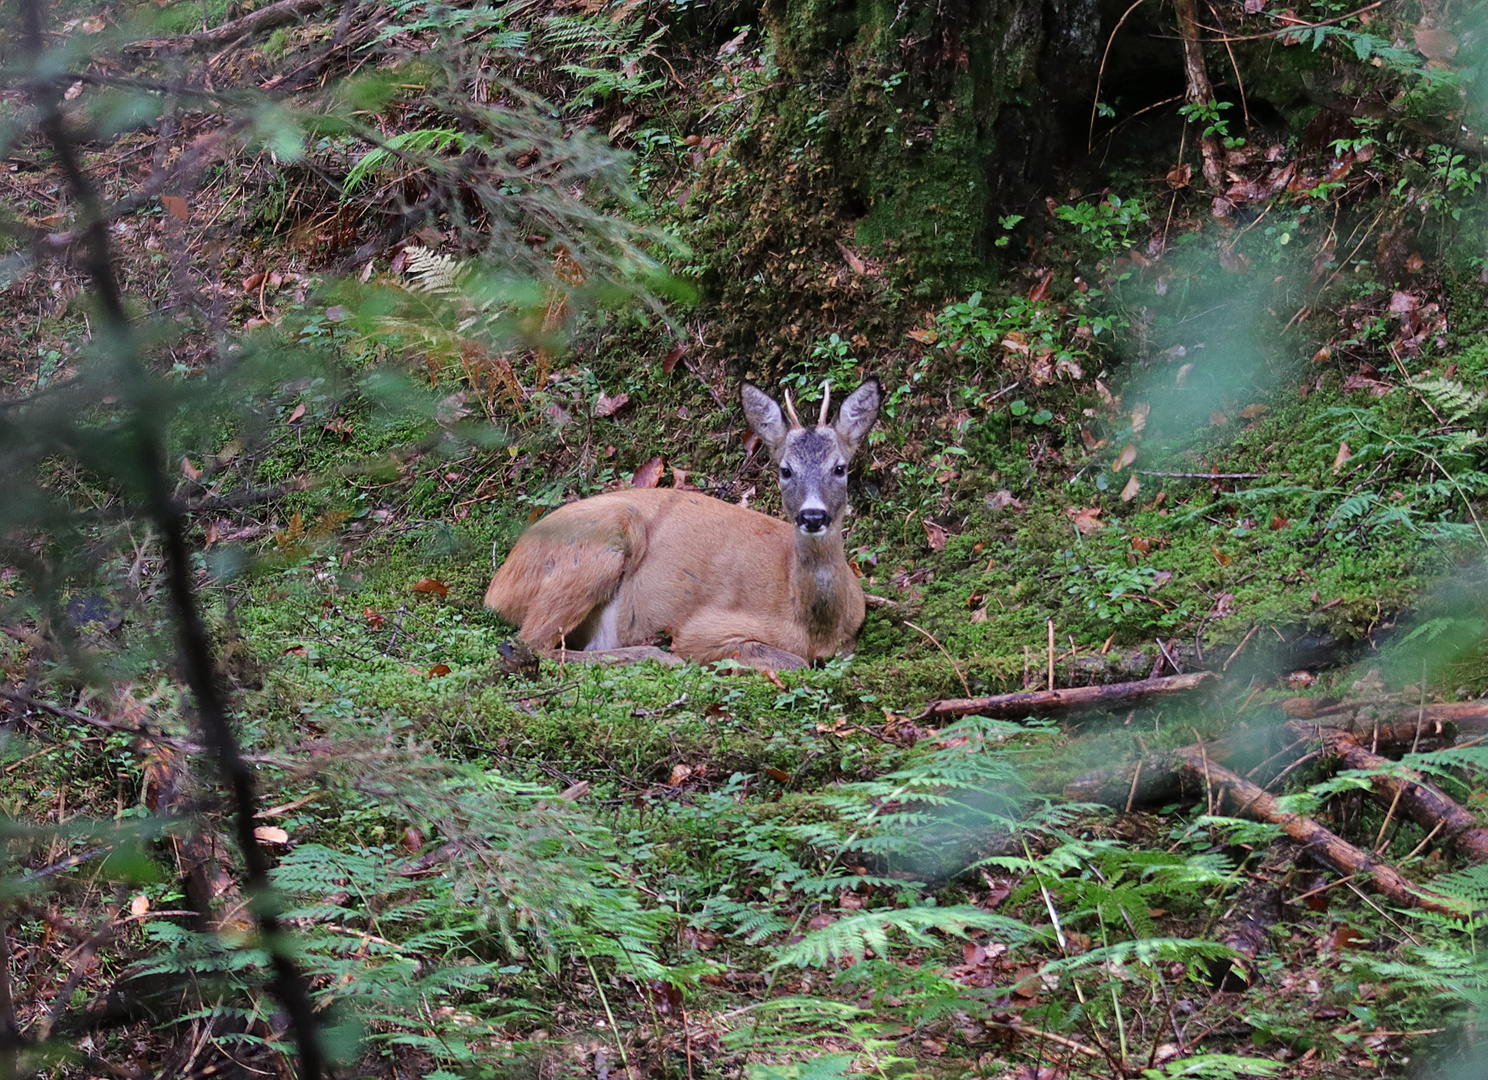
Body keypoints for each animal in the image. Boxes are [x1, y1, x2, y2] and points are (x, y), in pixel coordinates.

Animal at [485, 379, 880, 669]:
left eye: (840, 467)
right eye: (785, 470)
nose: (813, 516)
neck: (814, 627)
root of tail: (498, 586)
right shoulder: (705, 627)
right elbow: (790, 661)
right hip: (596, 547)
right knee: (531, 644)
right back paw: (657, 656)